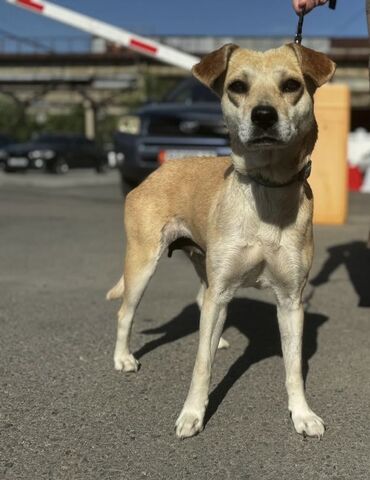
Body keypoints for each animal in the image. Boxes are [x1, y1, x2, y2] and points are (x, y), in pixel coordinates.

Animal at [106, 44, 336, 438]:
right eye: (237, 87)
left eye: (291, 85)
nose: (263, 115)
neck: (266, 192)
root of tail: (159, 170)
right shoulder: (223, 288)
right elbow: (202, 363)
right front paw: (192, 414)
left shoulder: (291, 301)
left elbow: (294, 368)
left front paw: (302, 414)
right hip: (143, 262)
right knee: (126, 311)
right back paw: (123, 357)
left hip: (204, 264)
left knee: (202, 299)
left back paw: (221, 336)